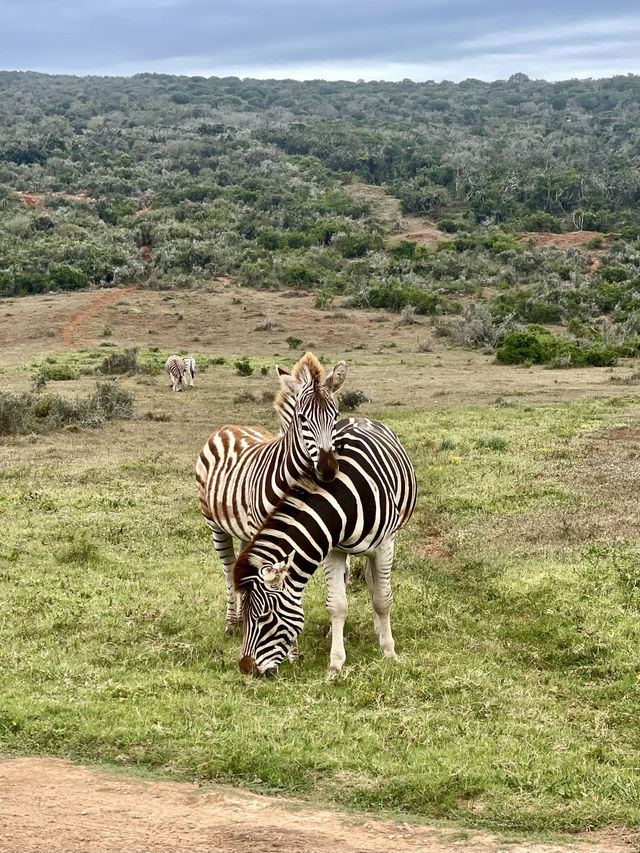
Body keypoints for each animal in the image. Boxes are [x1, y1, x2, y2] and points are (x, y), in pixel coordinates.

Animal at [195, 350, 348, 636]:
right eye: (302, 418)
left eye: (335, 415)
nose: (327, 468)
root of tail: (228, 427)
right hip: (215, 524)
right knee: (228, 568)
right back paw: (232, 623)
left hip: (243, 528)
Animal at [232, 416, 418, 676]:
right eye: (246, 617)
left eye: (264, 617)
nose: (246, 669)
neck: (345, 500)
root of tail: (358, 418)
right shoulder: (333, 550)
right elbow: (337, 605)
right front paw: (336, 663)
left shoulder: (384, 546)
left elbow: (382, 599)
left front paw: (389, 652)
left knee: (374, 585)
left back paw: (380, 631)